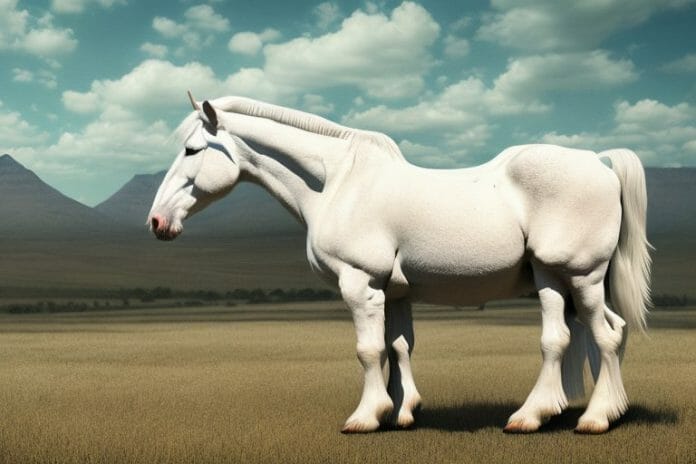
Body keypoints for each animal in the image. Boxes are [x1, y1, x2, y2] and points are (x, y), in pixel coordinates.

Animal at [148, 93, 651, 434]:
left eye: (192, 150)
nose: (157, 222)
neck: (337, 183)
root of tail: (599, 162)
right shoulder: (394, 291)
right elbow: (400, 347)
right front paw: (402, 411)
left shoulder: (360, 284)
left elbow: (369, 350)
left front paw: (365, 417)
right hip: (556, 280)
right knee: (592, 334)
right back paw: (580, 410)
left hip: (579, 276)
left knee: (598, 337)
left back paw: (583, 419)